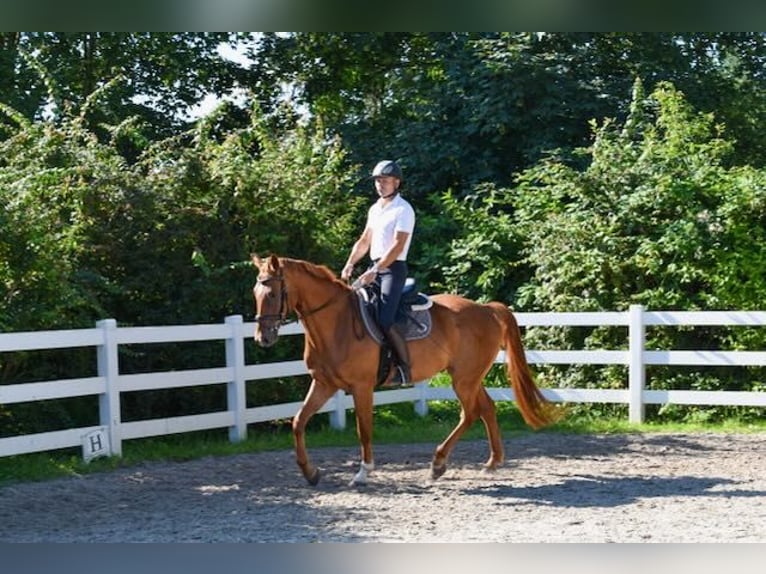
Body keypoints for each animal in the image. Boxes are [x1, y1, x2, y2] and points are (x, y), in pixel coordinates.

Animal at [252, 256, 560, 486]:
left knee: (471, 412)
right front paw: (310, 472)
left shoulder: (362, 387)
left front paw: (363, 472)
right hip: (469, 377)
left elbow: (363, 429)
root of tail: (487, 309)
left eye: (272, 292)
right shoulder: (323, 383)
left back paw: (438, 463)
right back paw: (492, 462)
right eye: (256, 293)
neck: (336, 322)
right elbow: (298, 421)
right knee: (486, 408)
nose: (262, 337)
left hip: (464, 379)